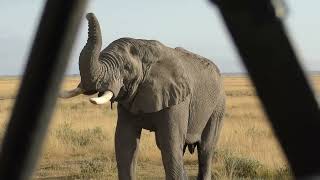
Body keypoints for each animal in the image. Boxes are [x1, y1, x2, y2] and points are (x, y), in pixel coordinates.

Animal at [60, 11, 225, 179]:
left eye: (126, 68)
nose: (87, 14)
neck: (144, 46)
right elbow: (125, 142)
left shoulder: (178, 100)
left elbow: (169, 143)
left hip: (218, 106)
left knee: (205, 149)